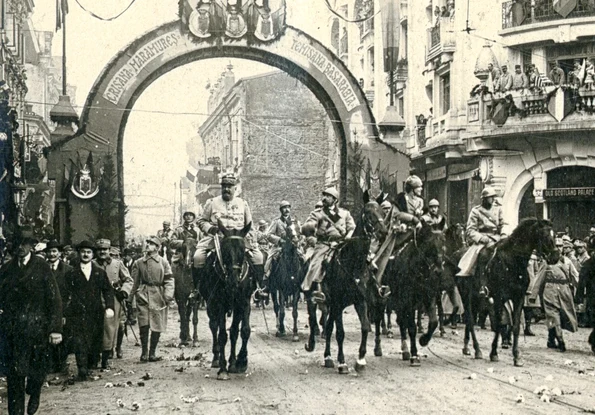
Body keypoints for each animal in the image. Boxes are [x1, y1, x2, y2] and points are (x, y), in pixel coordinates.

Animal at [198, 221, 254, 380]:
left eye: (243, 250)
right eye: (225, 251)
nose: (233, 281)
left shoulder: (243, 303)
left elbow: (243, 331)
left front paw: (240, 361)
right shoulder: (219, 305)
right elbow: (222, 335)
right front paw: (223, 369)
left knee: (233, 331)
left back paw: (233, 361)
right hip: (210, 305)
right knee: (214, 326)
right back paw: (216, 359)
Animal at [302, 193, 386, 376]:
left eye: (382, 211)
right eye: (368, 212)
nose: (383, 232)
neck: (353, 265)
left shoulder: (360, 301)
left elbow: (364, 327)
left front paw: (360, 360)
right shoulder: (338, 303)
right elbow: (340, 333)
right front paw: (342, 363)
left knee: (328, 326)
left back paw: (328, 357)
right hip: (314, 298)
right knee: (313, 319)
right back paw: (313, 345)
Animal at [392, 223, 448, 366]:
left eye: (443, 241)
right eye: (429, 243)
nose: (439, 270)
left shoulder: (430, 297)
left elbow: (433, 322)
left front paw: (423, 340)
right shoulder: (408, 301)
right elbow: (411, 327)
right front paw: (414, 355)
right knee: (401, 322)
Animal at [480, 218, 560, 368]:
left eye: (554, 234)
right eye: (544, 235)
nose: (556, 257)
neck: (513, 262)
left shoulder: (519, 298)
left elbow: (516, 326)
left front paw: (517, 356)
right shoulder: (499, 298)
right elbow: (499, 323)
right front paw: (494, 353)